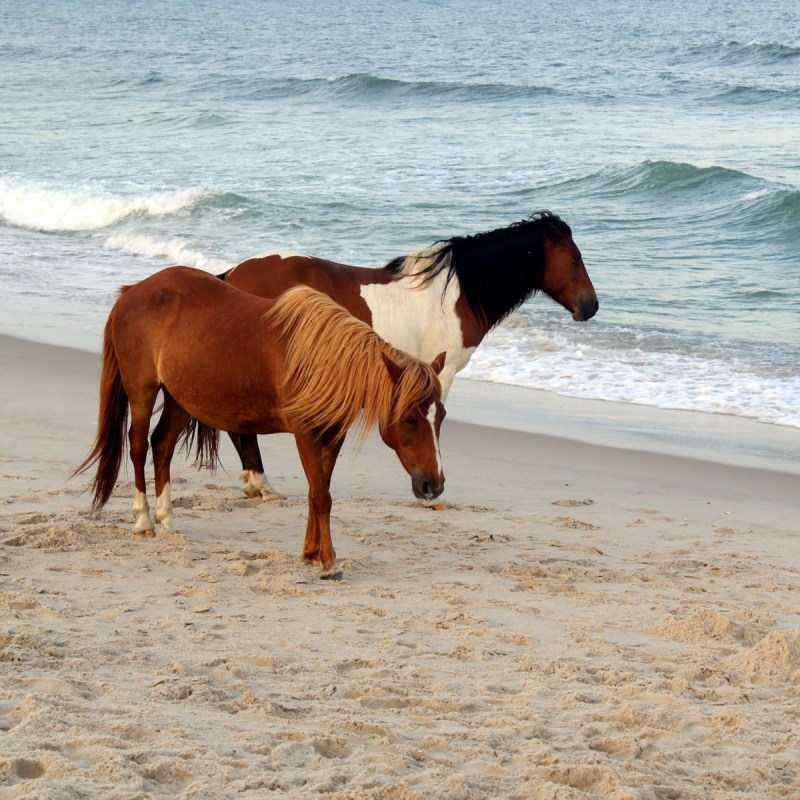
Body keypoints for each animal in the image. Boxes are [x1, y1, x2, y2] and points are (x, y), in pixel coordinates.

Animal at [76, 268, 446, 576]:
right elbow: (321, 497)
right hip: (142, 391)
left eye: (440, 415)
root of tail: (130, 293)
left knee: (162, 446)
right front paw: (328, 563)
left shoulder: (331, 438)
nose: (434, 485)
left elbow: (318, 492)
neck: (321, 361)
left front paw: (311, 553)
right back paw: (143, 521)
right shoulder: (305, 434)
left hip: (180, 399)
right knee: (138, 447)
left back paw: (167, 520)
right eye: (410, 419)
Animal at [222, 212, 596, 500]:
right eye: (575, 258)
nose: (590, 306)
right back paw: (262, 484)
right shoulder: (441, 374)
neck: (456, 294)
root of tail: (233, 274)